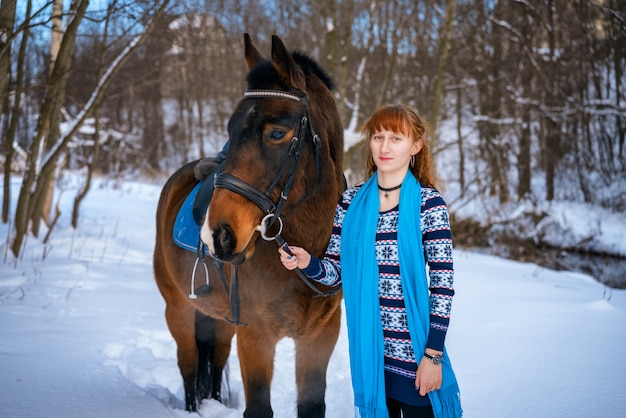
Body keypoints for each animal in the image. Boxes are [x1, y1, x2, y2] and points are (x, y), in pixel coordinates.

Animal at [153, 33, 344, 418]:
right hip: (178, 308)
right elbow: (257, 407)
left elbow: (311, 404)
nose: (218, 235)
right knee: (189, 365)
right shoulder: (256, 335)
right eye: (230, 128)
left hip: (222, 322)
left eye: (277, 133)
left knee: (213, 361)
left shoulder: (320, 338)